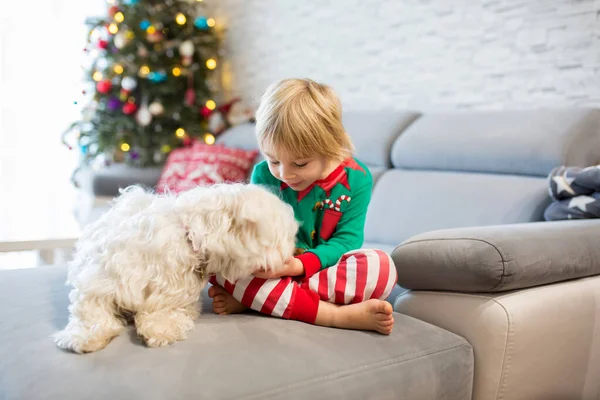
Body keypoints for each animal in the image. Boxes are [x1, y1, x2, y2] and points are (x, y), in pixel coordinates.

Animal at [53, 182, 298, 354]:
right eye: (283, 237)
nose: (294, 252)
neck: (190, 236)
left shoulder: (174, 293)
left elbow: (165, 312)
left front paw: (160, 329)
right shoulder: (99, 280)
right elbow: (92, 311)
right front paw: (85, 336)